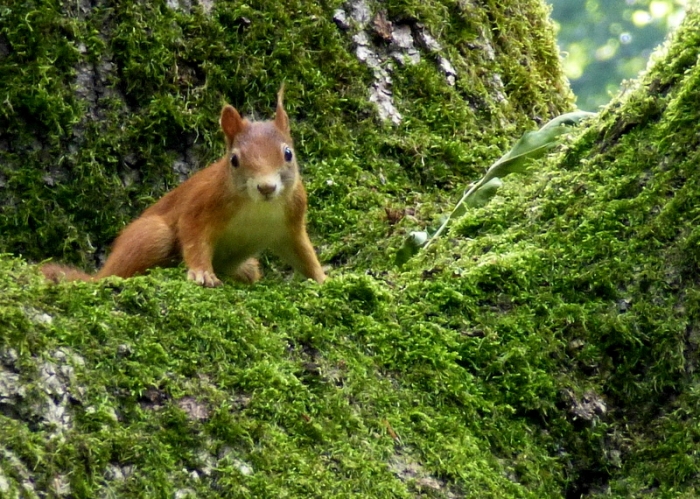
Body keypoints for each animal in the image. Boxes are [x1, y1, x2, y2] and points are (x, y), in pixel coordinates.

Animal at [41, 87, 326, 287]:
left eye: (288, 153)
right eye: (234, 160)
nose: (266, 187)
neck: (258, 208)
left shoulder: (292, 221)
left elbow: (303, 253)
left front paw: (323, 278)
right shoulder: (202, 203)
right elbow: (193, 237)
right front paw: (202, 273)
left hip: (247, 265)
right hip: (153, 236)